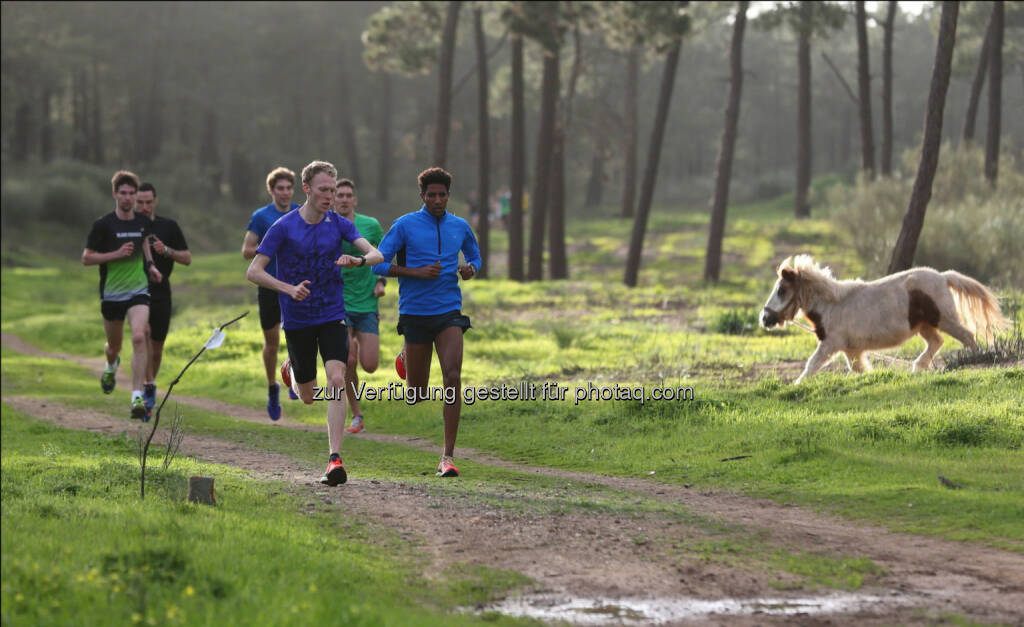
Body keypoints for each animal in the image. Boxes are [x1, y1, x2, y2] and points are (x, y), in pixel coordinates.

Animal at [761, 253, 1007, 381]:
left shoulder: (831, 344)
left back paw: (975, 360)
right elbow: (858, 369)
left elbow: (811, 365)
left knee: (967, 336)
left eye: (781, 290)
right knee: (937, 342)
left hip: (944, 319)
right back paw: (918, 367)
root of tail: (943, 276)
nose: (764, 318)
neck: (832, 305)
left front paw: (797, 384)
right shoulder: (852, 349)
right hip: (924, 326)